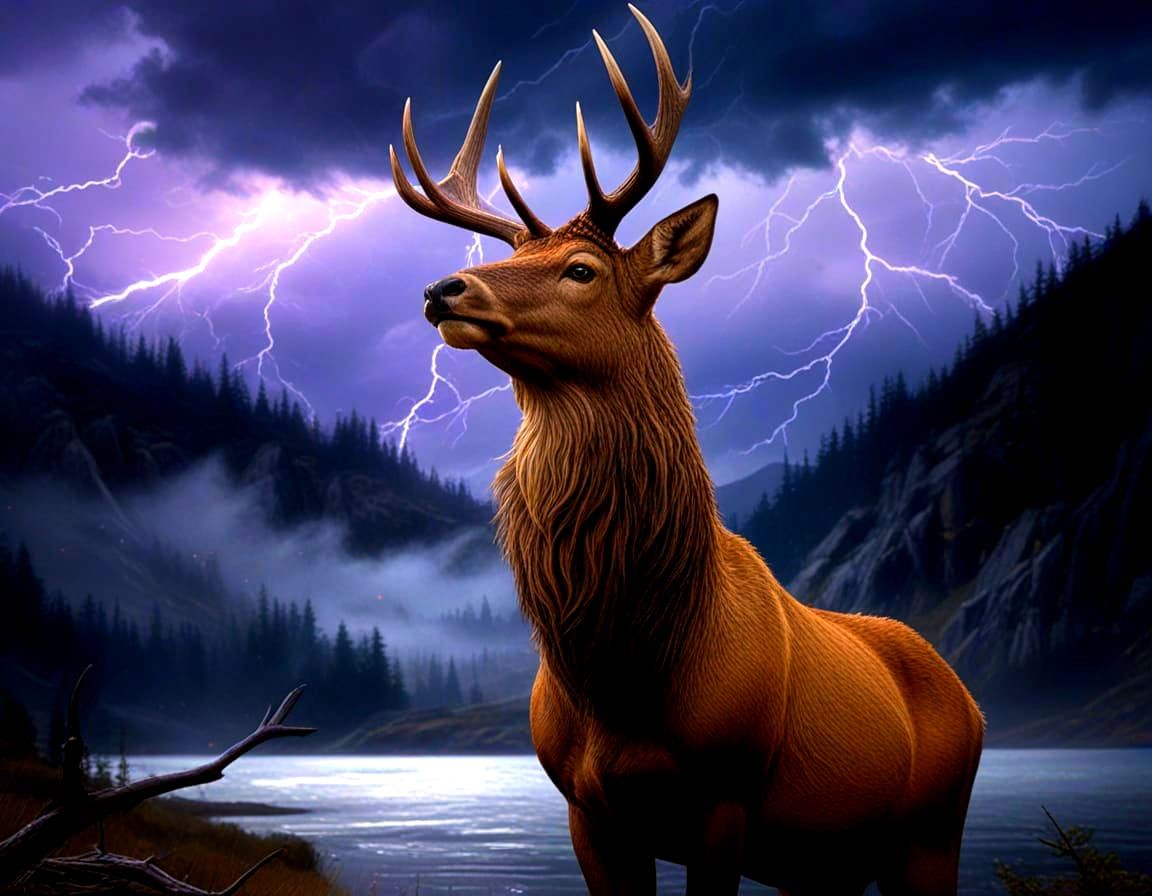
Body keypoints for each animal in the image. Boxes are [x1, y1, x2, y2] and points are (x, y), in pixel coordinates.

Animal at [389, 6, 984, 894]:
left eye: (581, 268)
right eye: (507, 256)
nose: (442, 289)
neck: (625, 674)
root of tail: (974, 701)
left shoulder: (725, 797)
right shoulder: (586, 807)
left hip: (931, 833)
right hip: (829, 860)